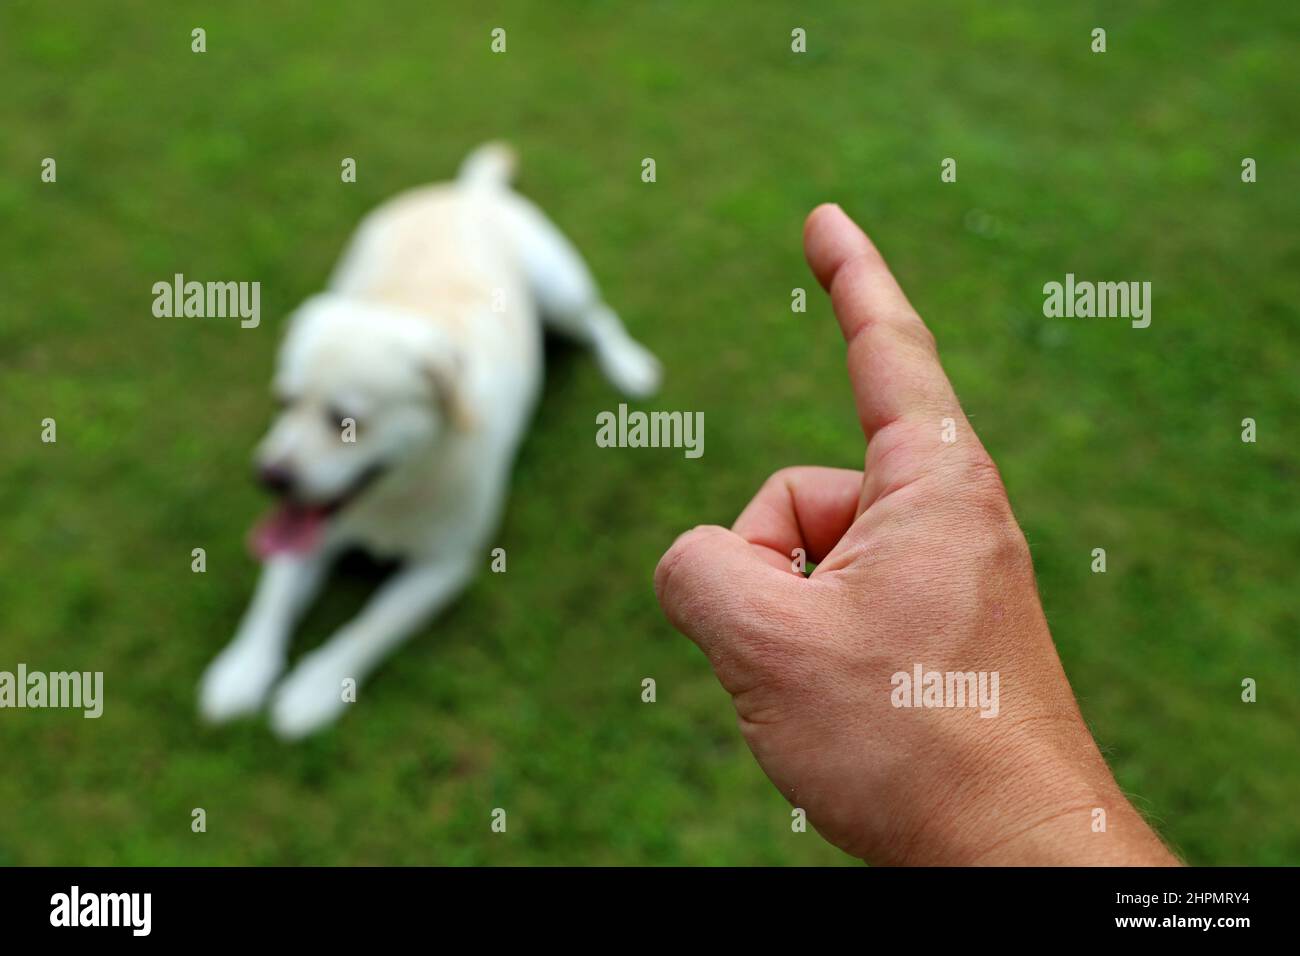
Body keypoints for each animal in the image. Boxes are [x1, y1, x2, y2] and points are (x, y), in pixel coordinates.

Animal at [197, 143, 660, 738]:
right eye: (282, 401)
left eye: (345, 421)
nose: (269, 477)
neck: (392, 493)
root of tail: (467, 191)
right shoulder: (309, 530)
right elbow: (272, 596)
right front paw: (243, 669)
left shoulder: (444, 566)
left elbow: (373, 624)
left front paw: (317, 687)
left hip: (561, 292)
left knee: (599, 319)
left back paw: (630, 366)